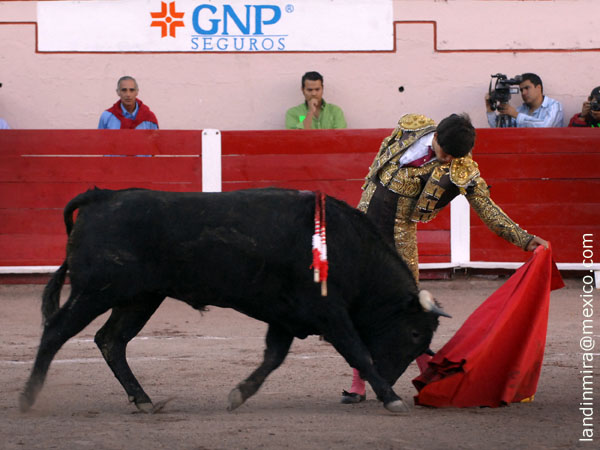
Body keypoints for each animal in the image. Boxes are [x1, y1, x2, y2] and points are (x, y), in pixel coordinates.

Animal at [19, 188, 446, 414]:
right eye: (412, 334)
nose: (390, 379)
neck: (350, 249)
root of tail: (102, 197)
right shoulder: (330, 313)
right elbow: (358, 351)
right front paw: (392, 398)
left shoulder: (287, 316)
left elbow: (273, 357)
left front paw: (239, 394)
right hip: (96, 291)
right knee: (56, 330)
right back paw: (28, 397)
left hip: (139, 299)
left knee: (110, 341)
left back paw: (143, 400)